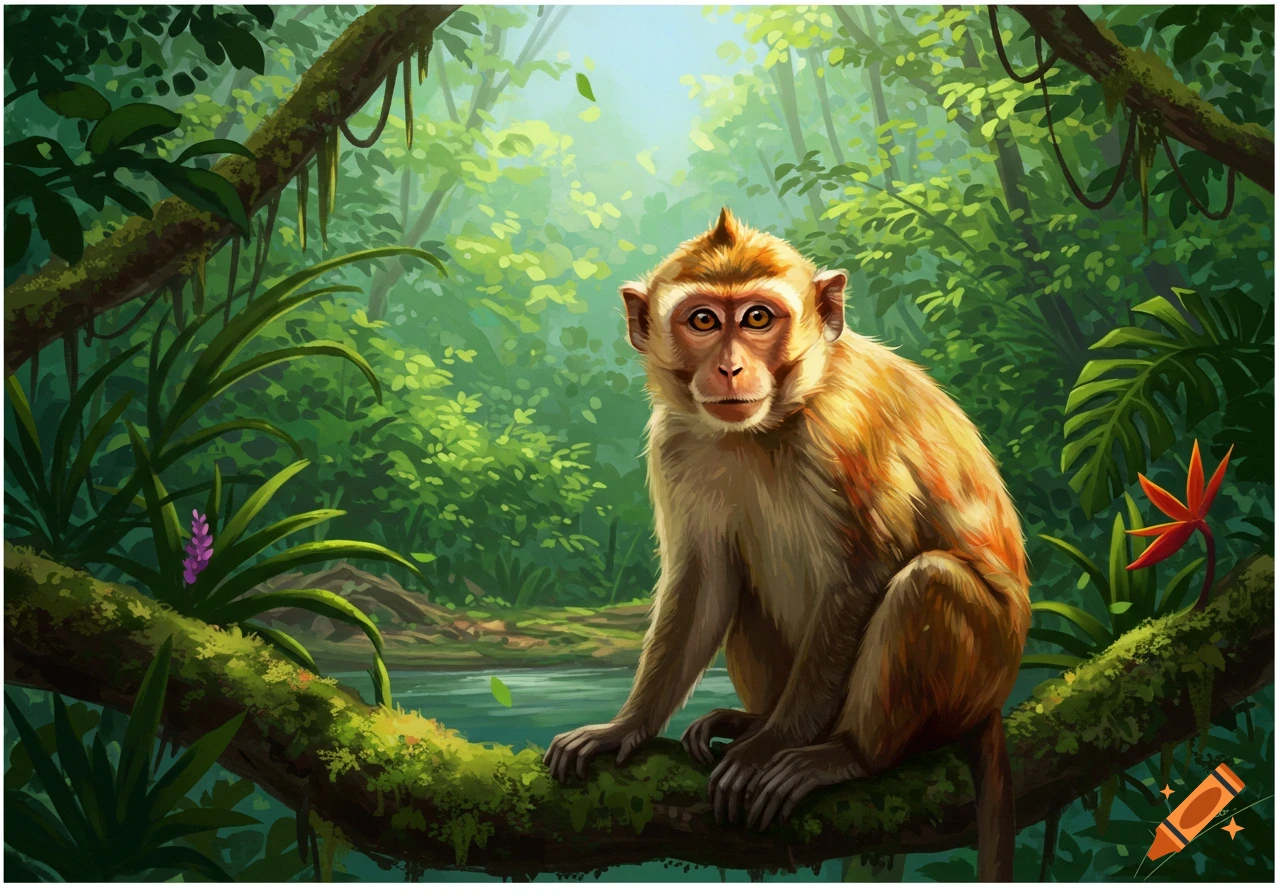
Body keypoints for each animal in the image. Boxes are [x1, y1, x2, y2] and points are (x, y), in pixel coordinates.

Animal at [543, 208, 1030, 882]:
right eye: (703, 320)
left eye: (757, 318)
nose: (729, 368)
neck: (774, 420)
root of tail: (995, 703)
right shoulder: (674, 440)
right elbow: (703, 580)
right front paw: (627, 727)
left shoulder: (845, 429)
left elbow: (864, 572)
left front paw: (773, 746)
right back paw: (749, 719)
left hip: (981, 670)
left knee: (926, 581)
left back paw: (845, 752)